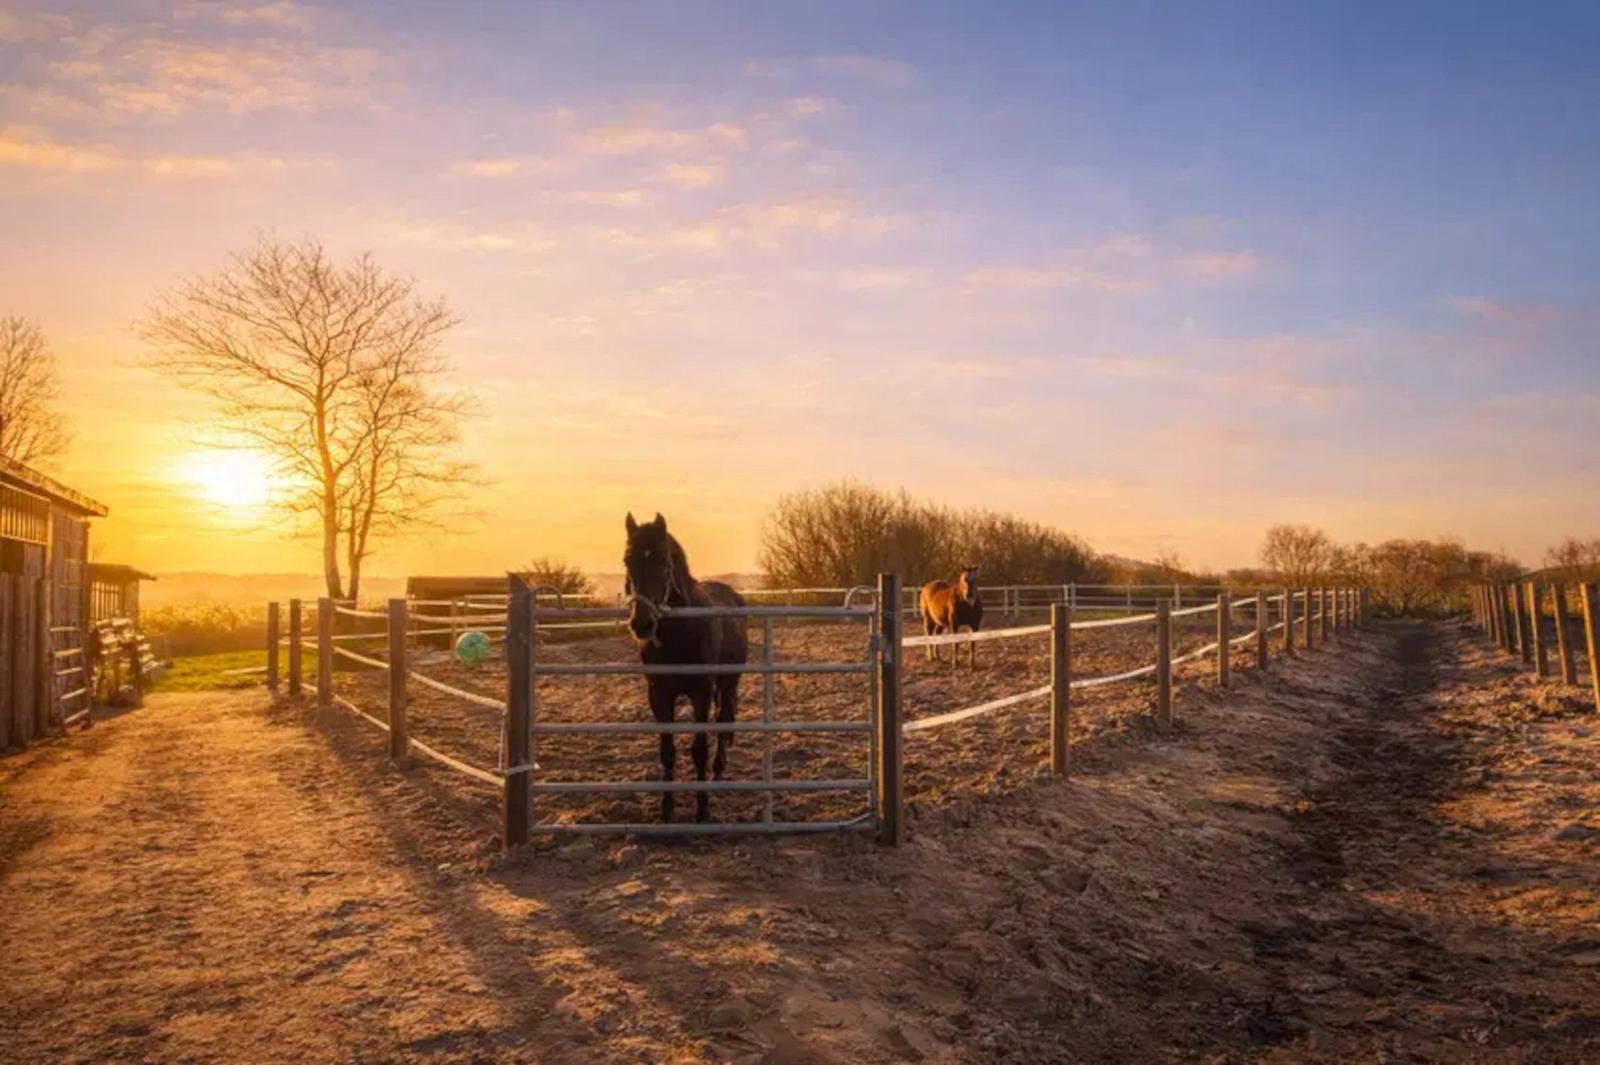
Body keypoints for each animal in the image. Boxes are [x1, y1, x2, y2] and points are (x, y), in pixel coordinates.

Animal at [622, 512, 748, 823]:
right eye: (627, 560)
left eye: (664, 561)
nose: (642, 624)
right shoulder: (658, 695)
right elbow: (667, 752)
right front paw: (666, 810)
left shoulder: (701, 691)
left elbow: (699, 749)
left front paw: (702, 810)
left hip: (729, 681)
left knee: (724, 719)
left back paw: (718, 770)